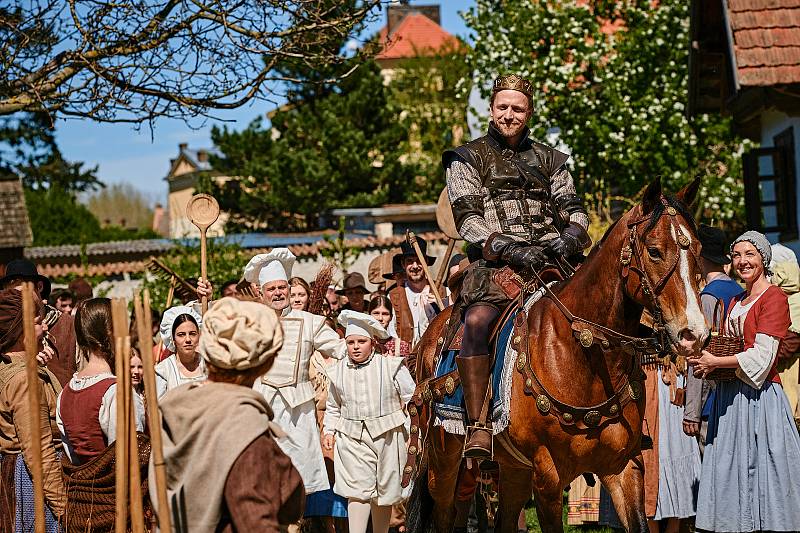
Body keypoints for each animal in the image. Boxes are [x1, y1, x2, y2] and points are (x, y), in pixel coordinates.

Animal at [410, 177, 708, 528]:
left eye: (698, 250)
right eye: (654, 251)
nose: (694, 334)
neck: (583, 355)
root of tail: (428, 337)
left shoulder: (623, 468)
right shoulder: (547, 478)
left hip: (513, 469)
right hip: (444, 461)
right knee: (445, 512)